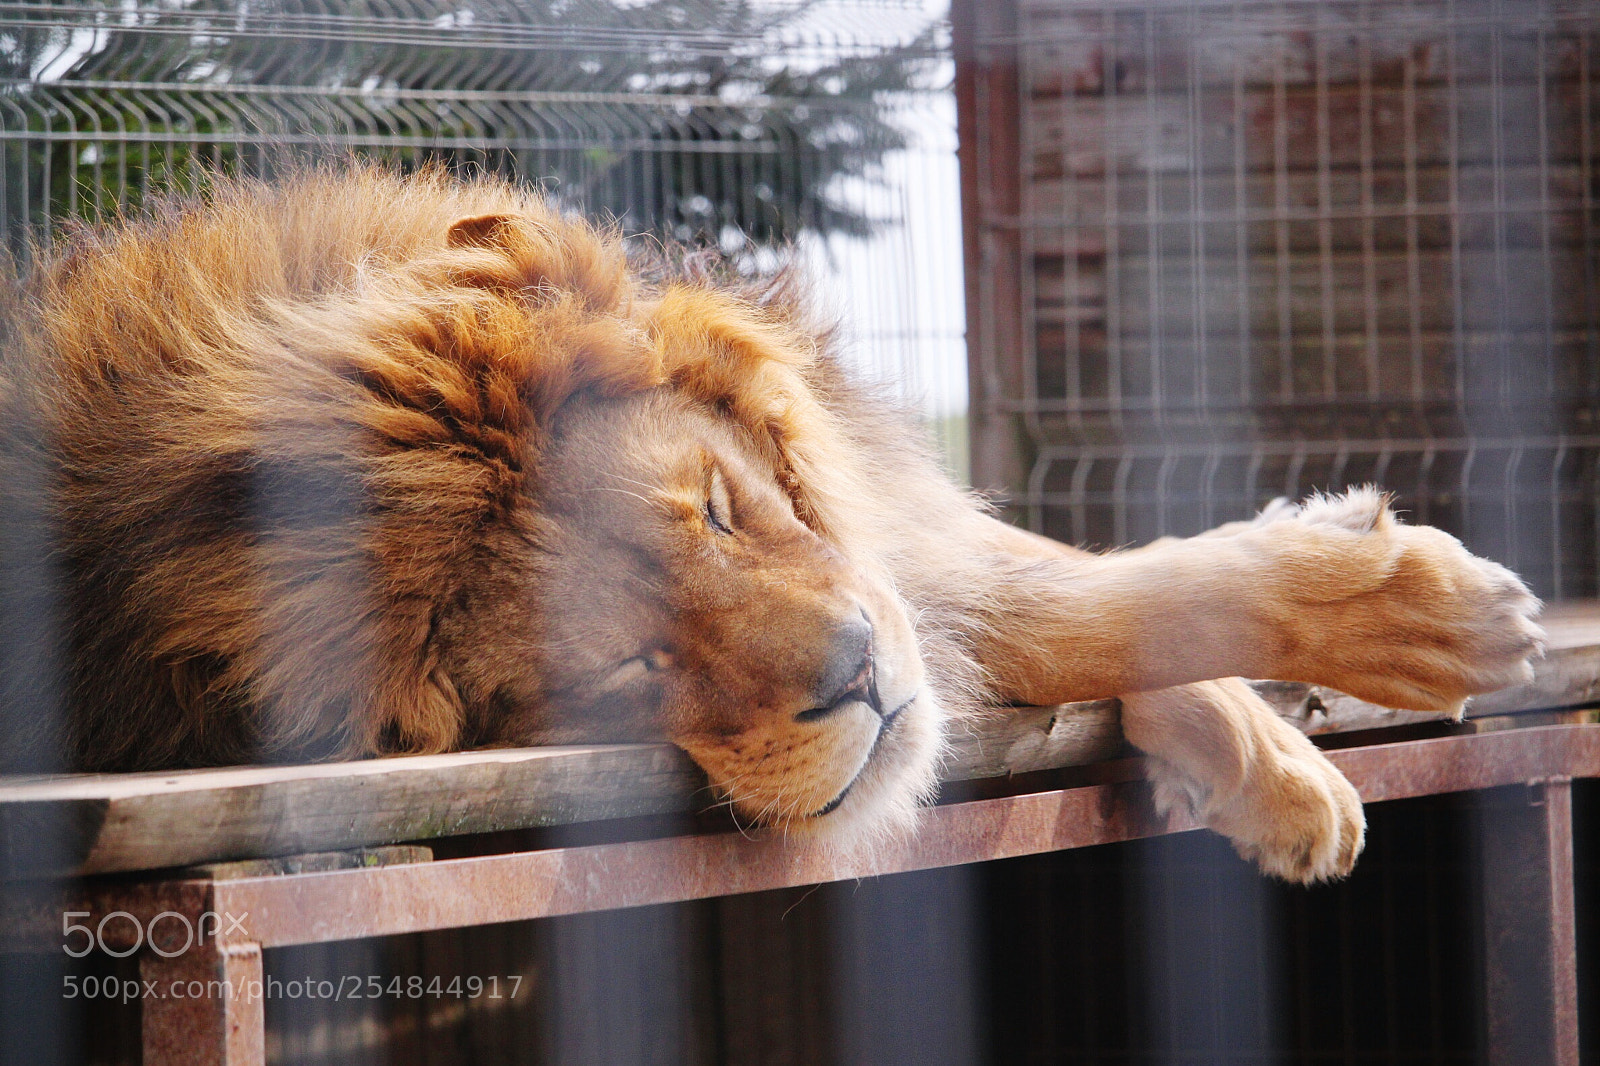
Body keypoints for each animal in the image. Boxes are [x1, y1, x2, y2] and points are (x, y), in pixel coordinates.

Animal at [0, 167, 1544, 882]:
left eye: (719, 506)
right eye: (626, 672)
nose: (856, 677)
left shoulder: (889, 530)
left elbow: (1065, 591)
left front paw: (1341, 701)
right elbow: (1052, 616)